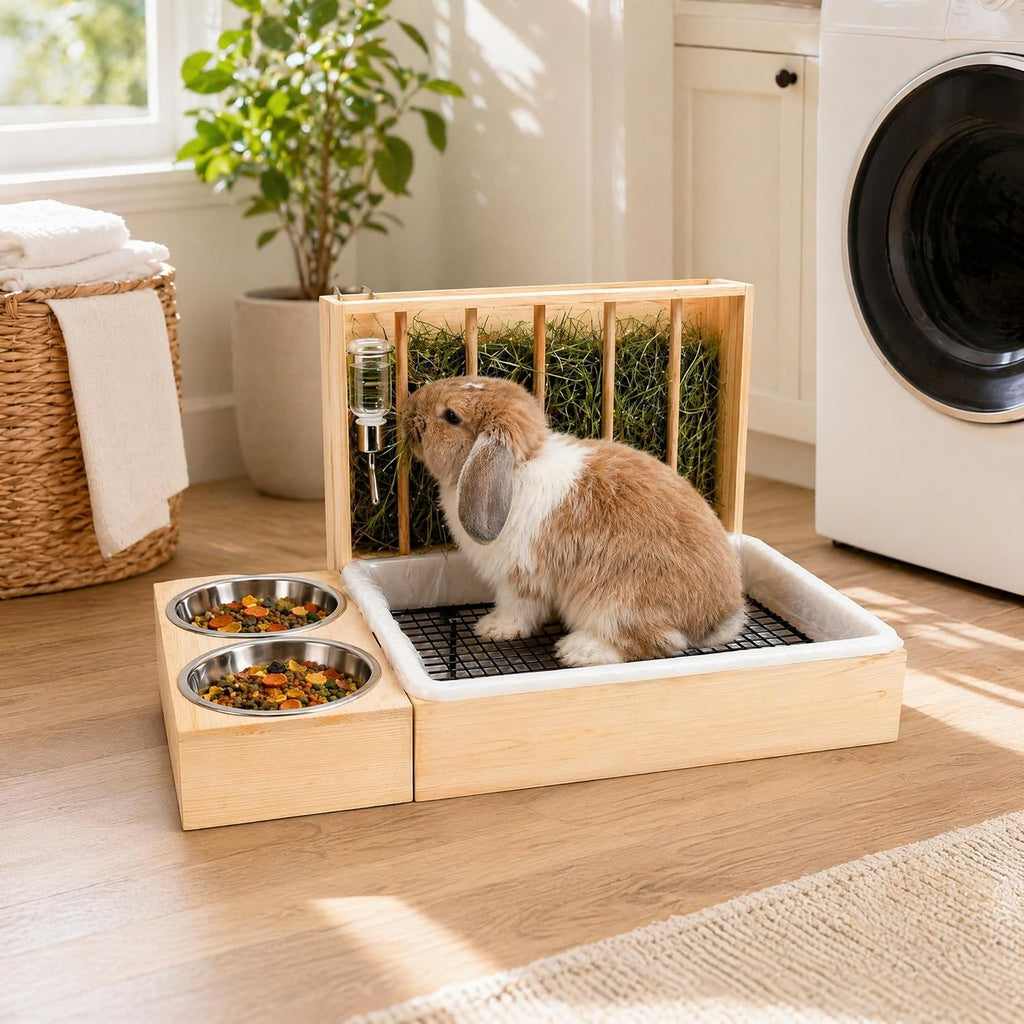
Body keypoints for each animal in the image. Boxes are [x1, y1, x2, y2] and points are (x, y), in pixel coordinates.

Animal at [401, 375, 746, 667]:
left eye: (451, 416)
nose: (410, 405)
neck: (517, 468)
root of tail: (717, 618)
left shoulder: (521, 577)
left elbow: (518, 609)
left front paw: (492, 628)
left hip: (616, 602)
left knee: (656, 642)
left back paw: (581, 651)